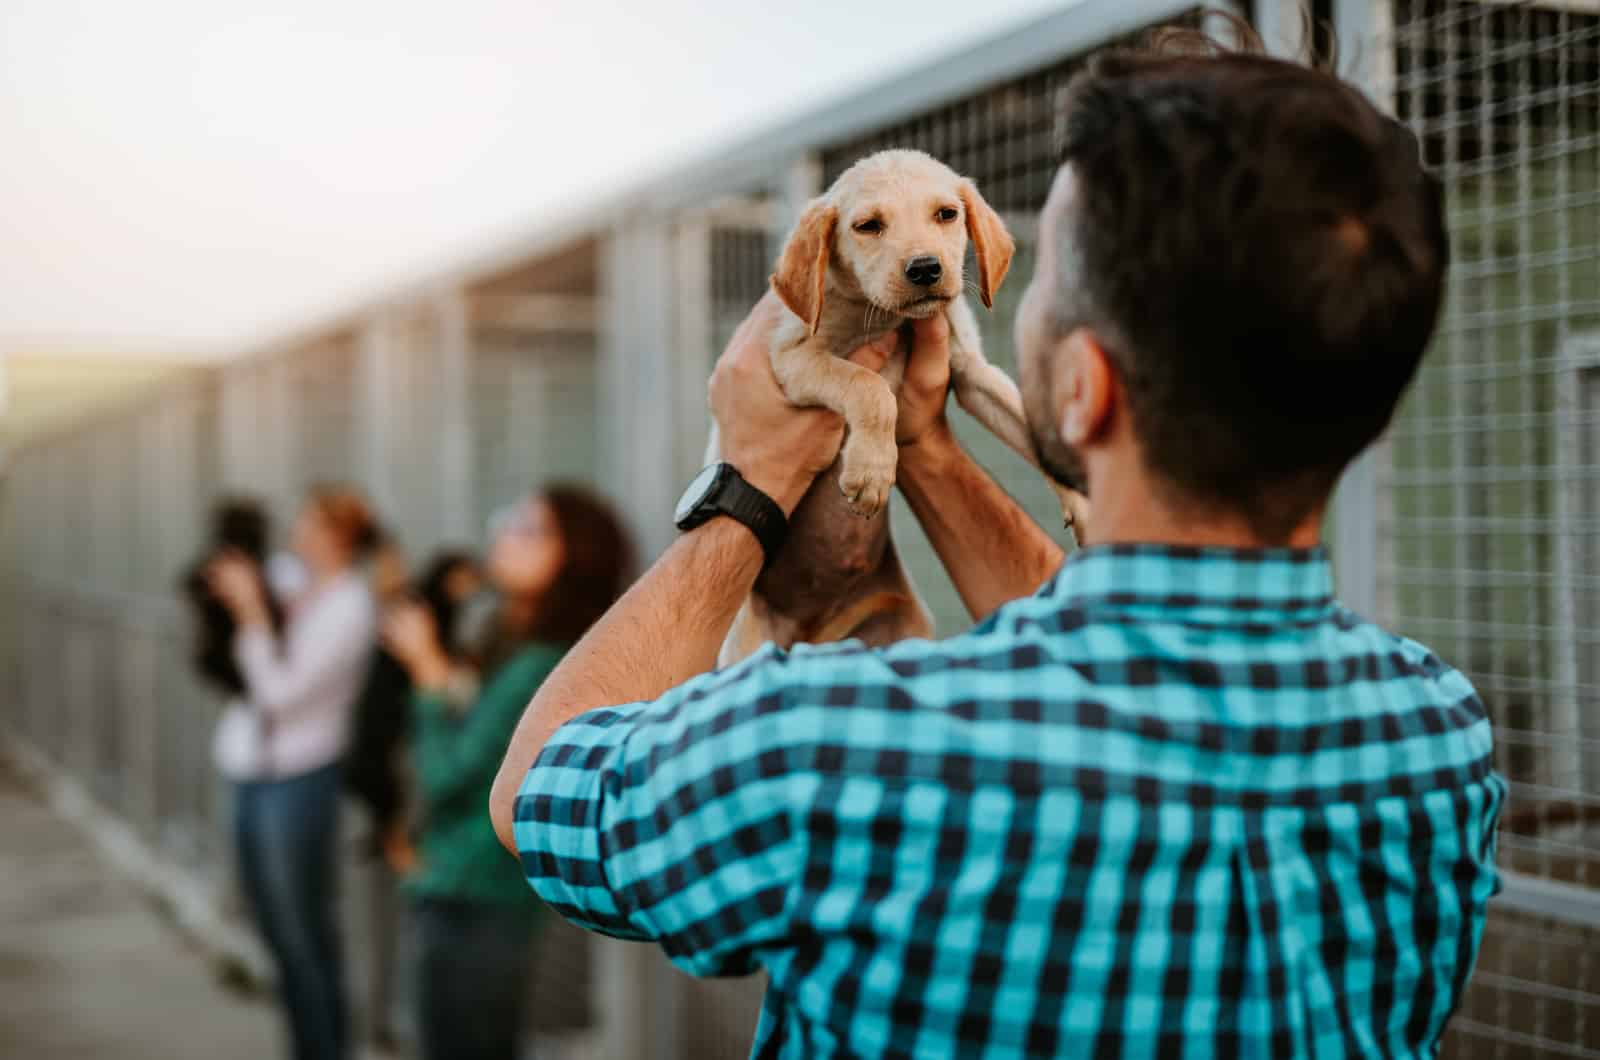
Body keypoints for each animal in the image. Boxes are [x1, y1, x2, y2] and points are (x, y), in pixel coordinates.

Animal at [713, 149, 1088, 666]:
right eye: (868, 226)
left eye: (946, 215)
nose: (926, 268)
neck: (889, 319)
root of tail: (813, 637)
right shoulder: (791, 357)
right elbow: (871, 386)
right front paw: (872, 468)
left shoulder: (972, 371)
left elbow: (1029, 427)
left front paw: (1082, 502)